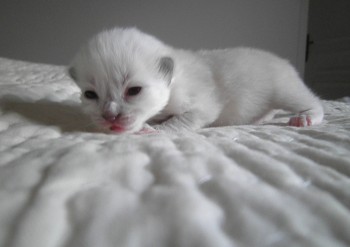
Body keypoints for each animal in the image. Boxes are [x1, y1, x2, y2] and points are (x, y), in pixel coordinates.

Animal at [69, 27, 324, 133]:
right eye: (90, 95)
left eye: (134, 90)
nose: (109, 117)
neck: (174, 81)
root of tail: (283, 60)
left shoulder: (202, 104)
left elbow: (179, 121)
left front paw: (153, 130)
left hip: (284, 89)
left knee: (312, 101)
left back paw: (306, 118)